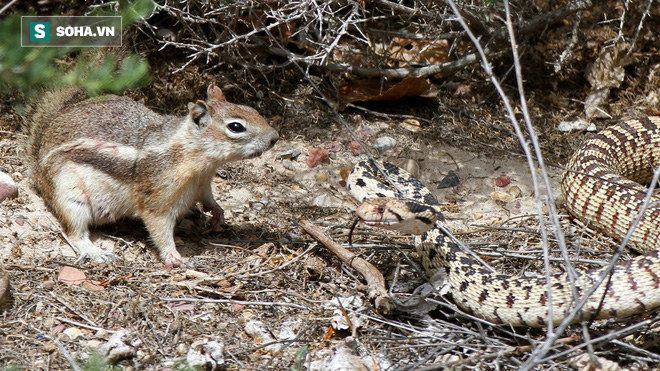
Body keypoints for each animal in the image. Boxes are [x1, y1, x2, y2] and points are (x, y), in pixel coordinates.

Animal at [25, 83, 278, 268]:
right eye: (236, 127)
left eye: (253, 111)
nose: (275, 137)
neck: (197, 162)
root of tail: (37, 164)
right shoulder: (156, 199)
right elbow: (159, 229)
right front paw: (174, 256)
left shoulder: (203, 184)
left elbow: (209, 199)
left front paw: (218, 214)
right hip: (69, 195)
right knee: (73, 233)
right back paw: (97, 252)